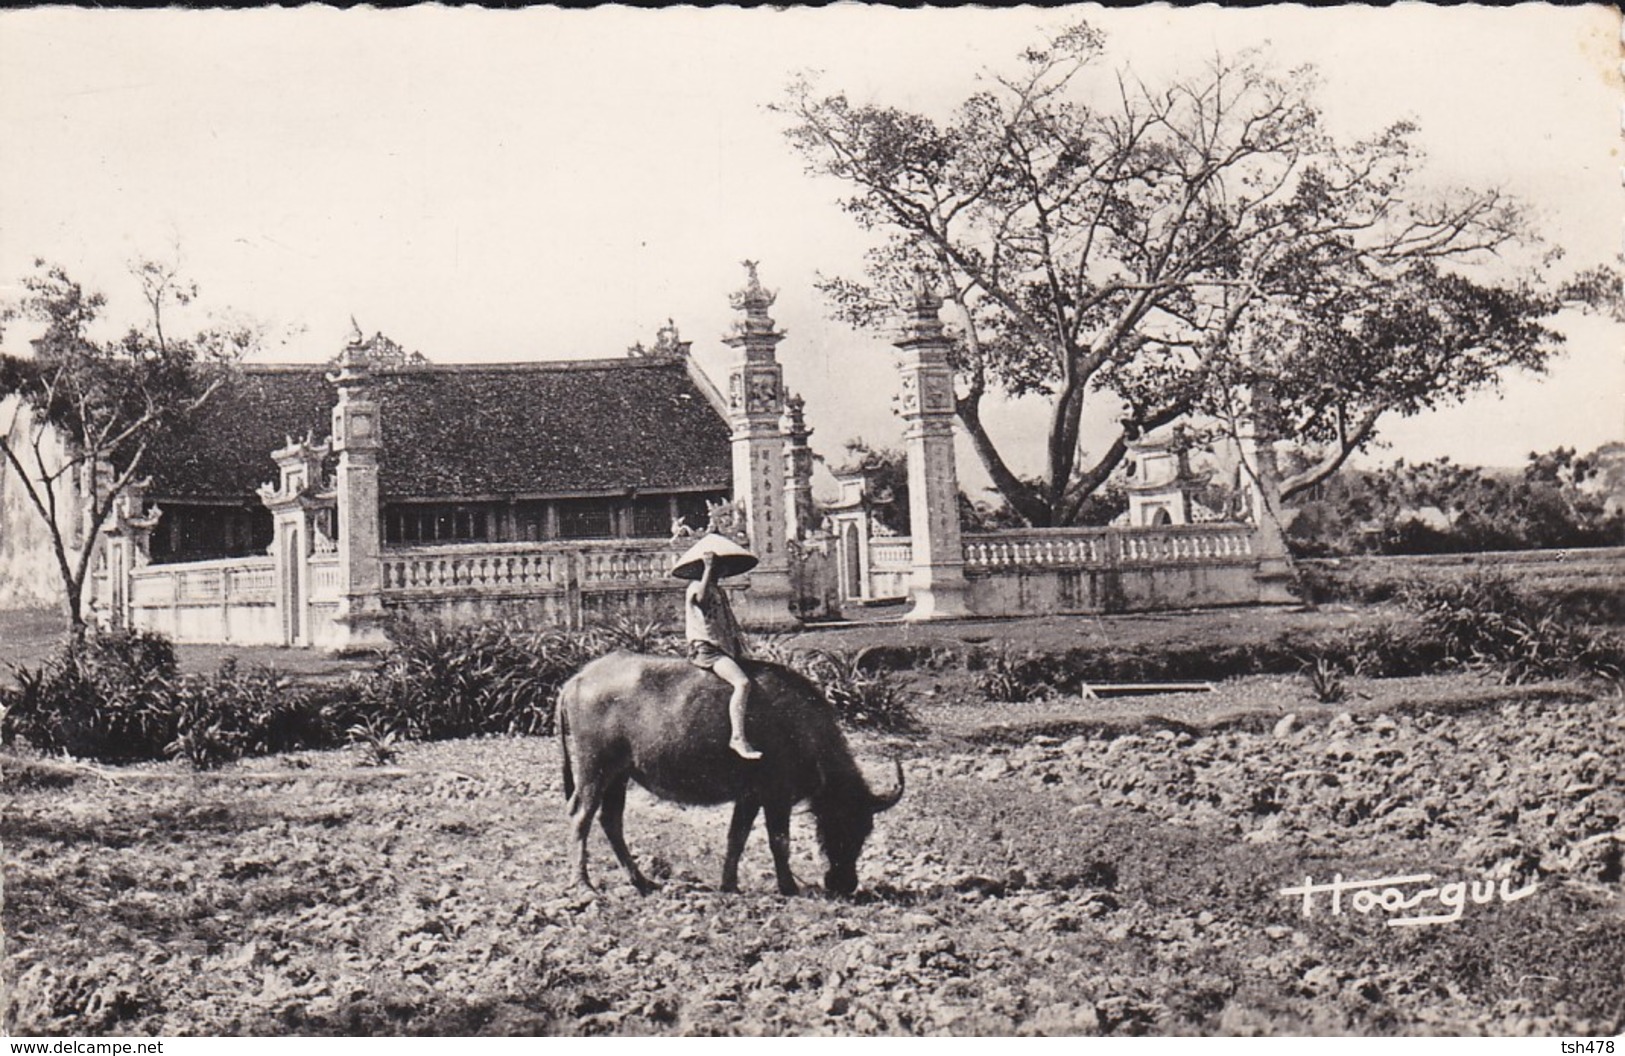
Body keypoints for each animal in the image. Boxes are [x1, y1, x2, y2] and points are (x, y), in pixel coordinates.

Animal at [559, 653, 903, 890]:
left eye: (866, 829)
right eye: (839, 823)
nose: (844, 884)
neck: (801, 726)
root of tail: (577, 678)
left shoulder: (750, 797)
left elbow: (736, 837)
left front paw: (729, 885)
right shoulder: (775, 795)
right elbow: (780, 840)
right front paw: (789, 887)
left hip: (619, 775)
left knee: (610, 820)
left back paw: (641, 881)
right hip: (594, 768)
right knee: (581, 815)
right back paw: (583, 883)